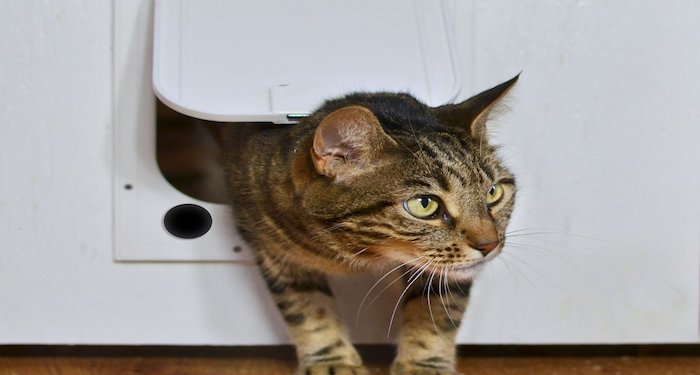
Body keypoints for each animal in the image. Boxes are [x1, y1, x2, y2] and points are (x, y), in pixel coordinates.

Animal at [223, 74, 520, 375]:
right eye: (425, 204)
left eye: (493, 193)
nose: (490, 244)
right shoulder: (272, 250)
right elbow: (307, 308)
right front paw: (332, 362)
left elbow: (438, 310)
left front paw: (423, 365)